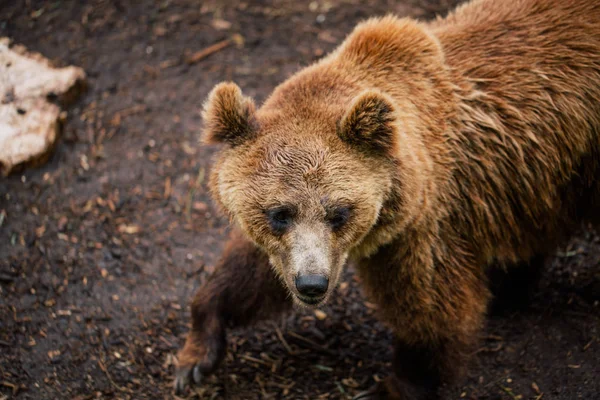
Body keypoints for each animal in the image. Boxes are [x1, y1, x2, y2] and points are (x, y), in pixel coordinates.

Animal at [171, 0, 596, 398]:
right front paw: (196, 355)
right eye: (279, 213)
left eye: (339, 212)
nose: (312, 284)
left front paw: (397, 383)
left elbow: (430, 306)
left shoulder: (423, 224)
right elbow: (250, 273)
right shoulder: (289, 245)